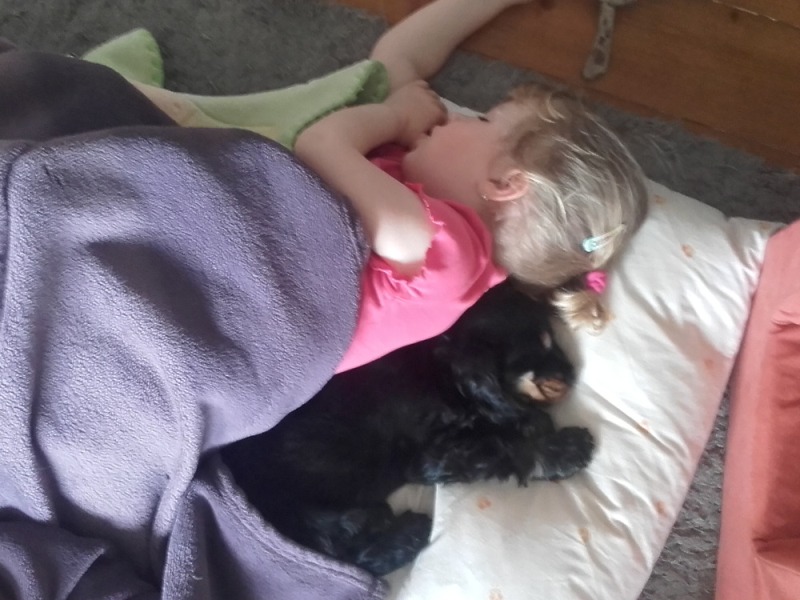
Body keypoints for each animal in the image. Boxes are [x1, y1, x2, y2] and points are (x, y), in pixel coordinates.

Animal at [221, 281, 594, 576]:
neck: (442, 365)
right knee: (351, 553)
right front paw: (566, 449)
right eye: (545, 341)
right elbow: (504, 444)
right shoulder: (430, 457)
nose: (573, 371)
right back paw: (409, 531)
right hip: (303, 516)